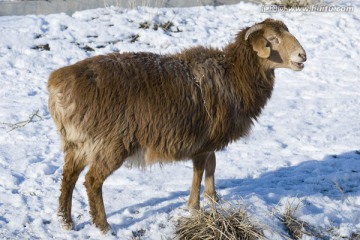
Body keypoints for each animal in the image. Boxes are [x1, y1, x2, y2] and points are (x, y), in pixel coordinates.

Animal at [47, 18, 306, 232]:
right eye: (272, 39)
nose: (302, 56)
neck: (234, 75)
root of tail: (57, 85)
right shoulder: (201, 143)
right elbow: (199, 171)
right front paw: (194, 206)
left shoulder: (210, 140)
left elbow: (212, 166)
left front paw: (214, 199)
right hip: (110, 143)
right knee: (92, 181)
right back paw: (103, 226)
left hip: (77, 142)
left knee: (68, 176)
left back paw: (66, 221)